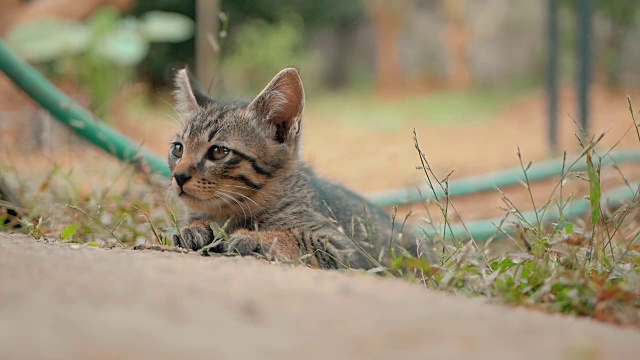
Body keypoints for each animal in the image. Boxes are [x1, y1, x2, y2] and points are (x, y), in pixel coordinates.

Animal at [170, 68, 428, 270]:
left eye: (218, 152)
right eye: (178, 149)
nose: (178, 176)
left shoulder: (345, 251)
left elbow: (299, 237)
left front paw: (254, 237)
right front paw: (193, 227)